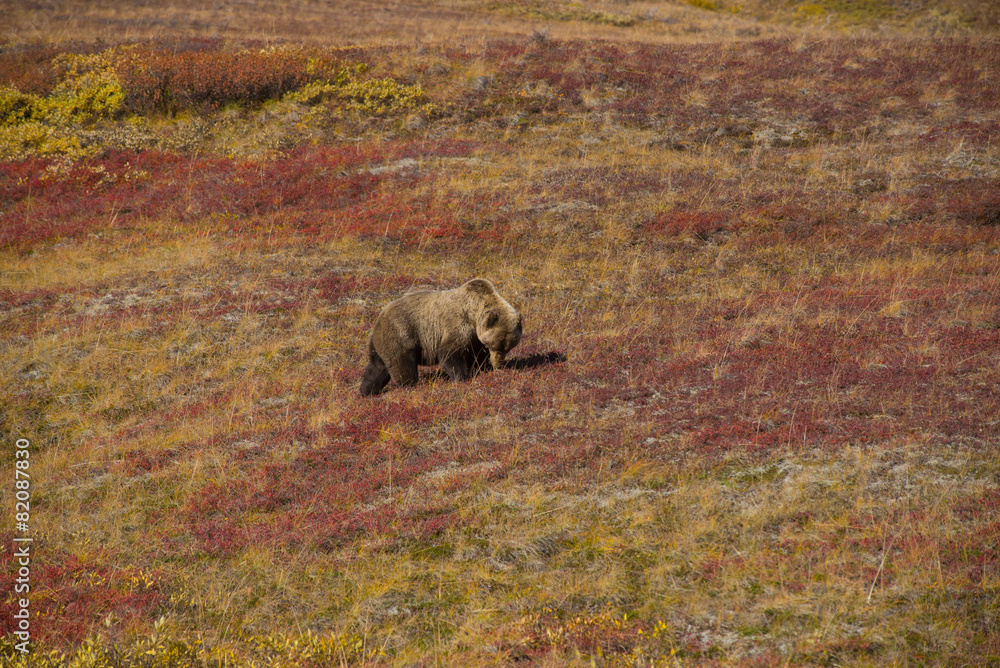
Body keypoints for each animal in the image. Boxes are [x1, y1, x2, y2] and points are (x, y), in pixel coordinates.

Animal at [360, 278, 523, 396]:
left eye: (508, 347)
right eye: (497, 346)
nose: (498, 364)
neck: (474, 314)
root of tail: (378, 319)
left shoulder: (476, 338)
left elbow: (476, 354)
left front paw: (480, 368)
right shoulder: (457, 323)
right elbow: (450, 353)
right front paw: (461, 377)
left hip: (381, 344)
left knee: (376, 368)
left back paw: (366, 390)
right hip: (401, 335)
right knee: (403, 365)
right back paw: (409, 385)